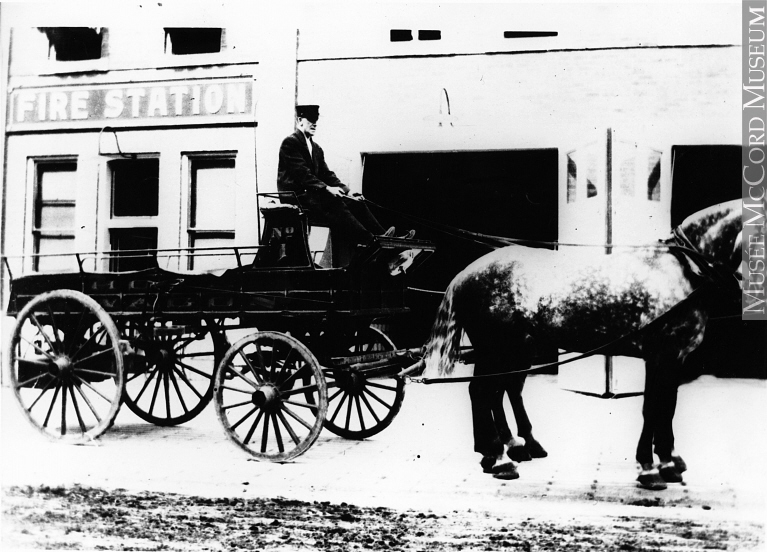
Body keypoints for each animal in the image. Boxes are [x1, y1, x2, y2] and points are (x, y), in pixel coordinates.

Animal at [420, 199, 744, 488]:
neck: (684, 269)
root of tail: (465, 273)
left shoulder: (674, 359)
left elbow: (667, 407)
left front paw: (669, 461)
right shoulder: (660, 355)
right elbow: (652, 408)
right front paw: (650, 468)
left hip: (514, 350)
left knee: (500, 391)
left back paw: (508, 449)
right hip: (496, 349)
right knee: (482, 392)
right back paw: (499, 459)